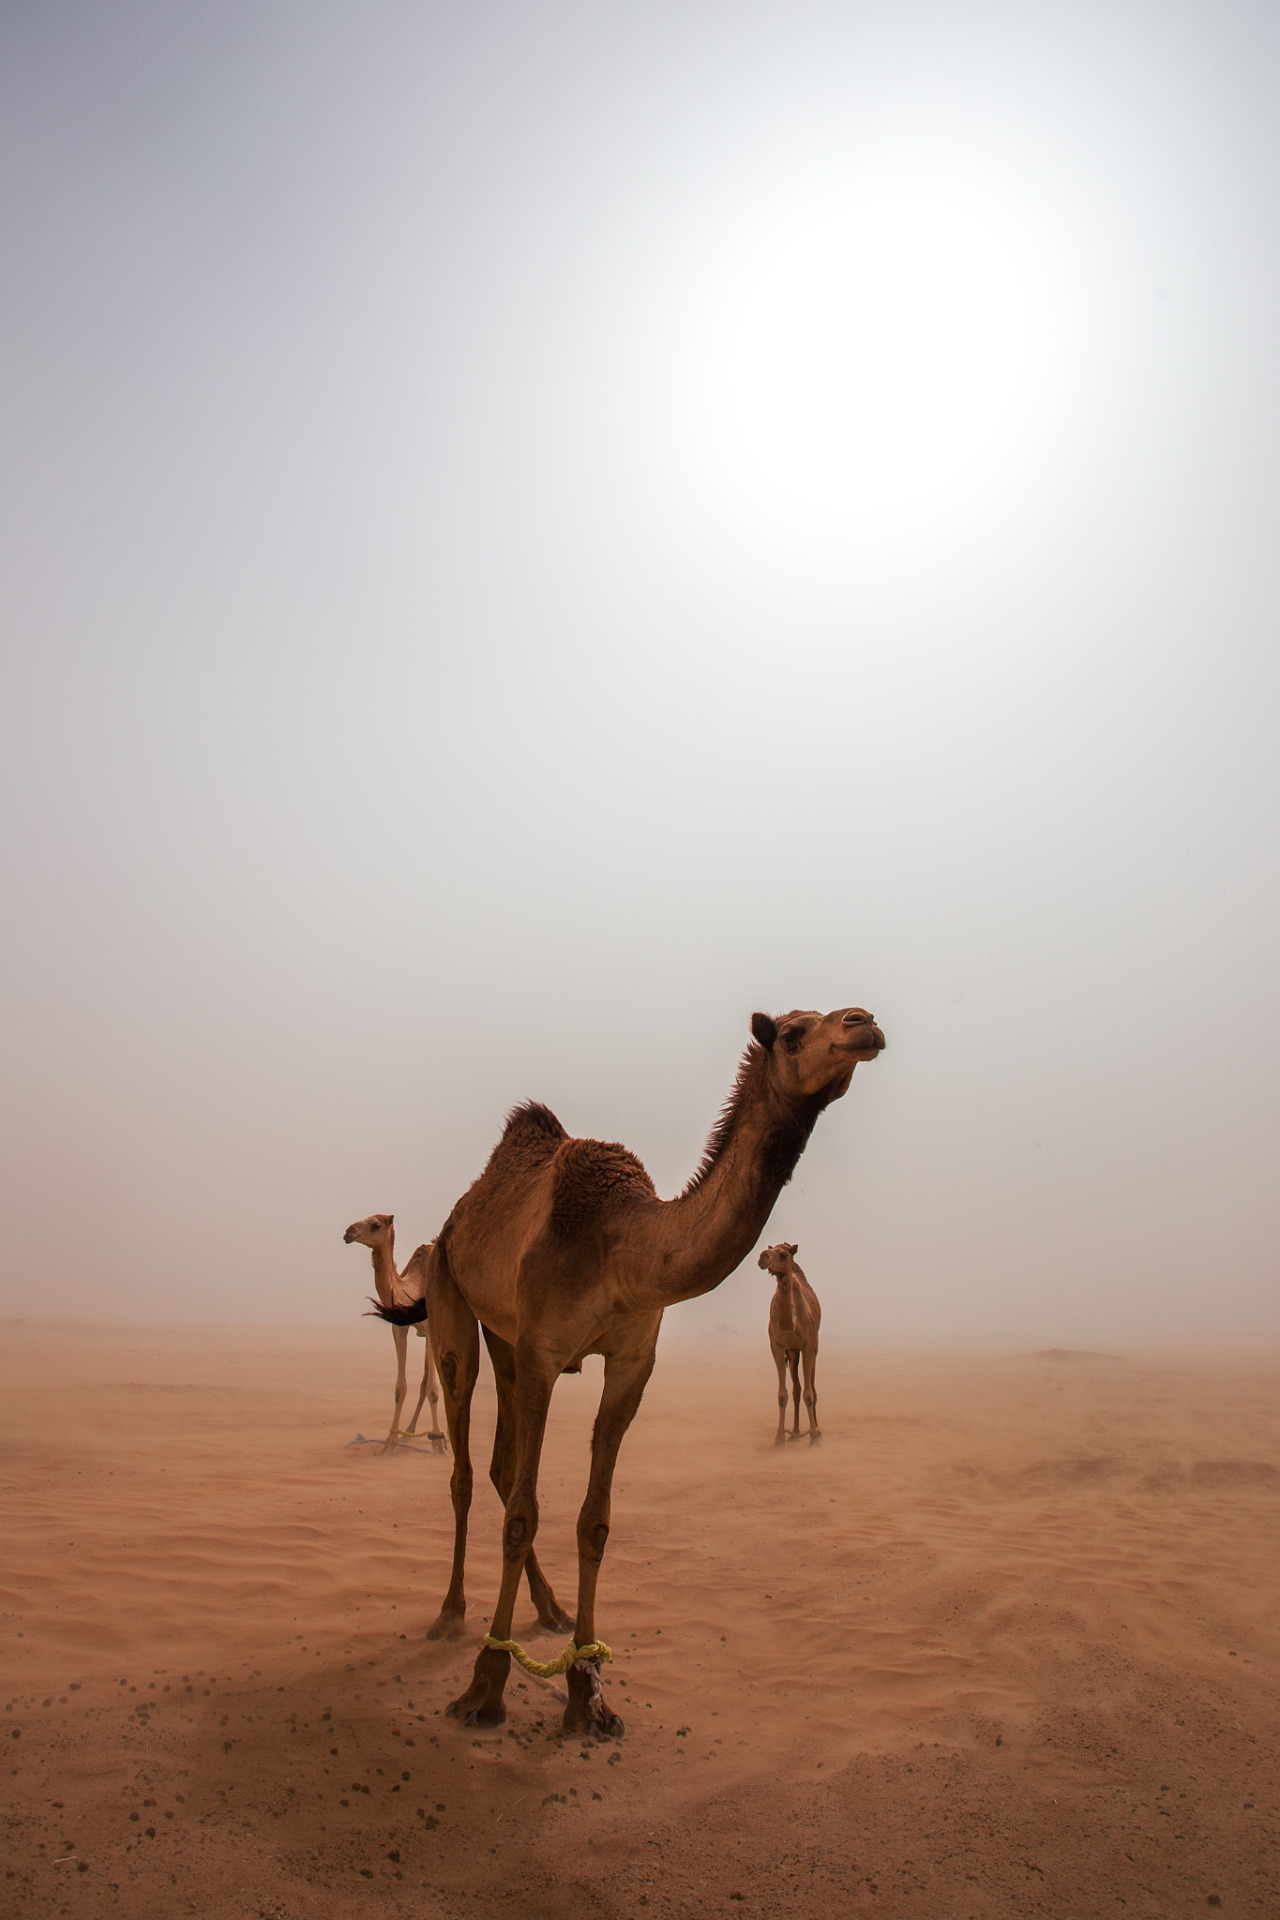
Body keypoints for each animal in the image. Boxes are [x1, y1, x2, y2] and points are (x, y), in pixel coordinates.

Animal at [342, 1214, 445, 1454]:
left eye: (375, 1224)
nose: (349, 1232)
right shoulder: (400, 1328)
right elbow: (402, 1387)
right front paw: (390, 1442)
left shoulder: (431, 1328)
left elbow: (433, 1389)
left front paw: (439, 1446)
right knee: (424, 1380)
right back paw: (411, 1431)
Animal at [758, 1242, 822, 1445]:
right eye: (769, 1250)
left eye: (783, 1254)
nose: (763, 1257)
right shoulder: (777, 1346)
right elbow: (782, 1394)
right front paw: (780, 1438)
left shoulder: (808, 1346)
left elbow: (809, 1394)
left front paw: (814, 1436)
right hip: (793, 1353)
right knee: (796, 1388)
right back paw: (794, 1433)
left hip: (814, 1348)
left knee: (812, 1388)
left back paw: (815, 1430)